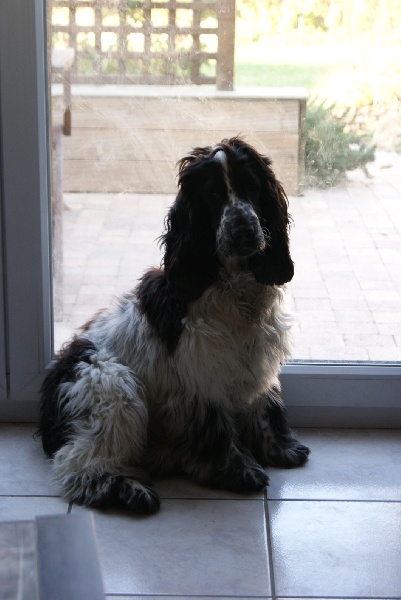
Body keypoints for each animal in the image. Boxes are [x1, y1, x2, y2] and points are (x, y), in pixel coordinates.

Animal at [38, 137, 310, 514]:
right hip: (112, 386)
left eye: (252, 188)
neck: (232, 286)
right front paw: (238, 471)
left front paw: (279, 449)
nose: (243, 230)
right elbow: (217, 427)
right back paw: (129, 491)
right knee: (79, 464)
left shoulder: (258, 359)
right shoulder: (202, 371)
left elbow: (265, 407)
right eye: (213, 195)